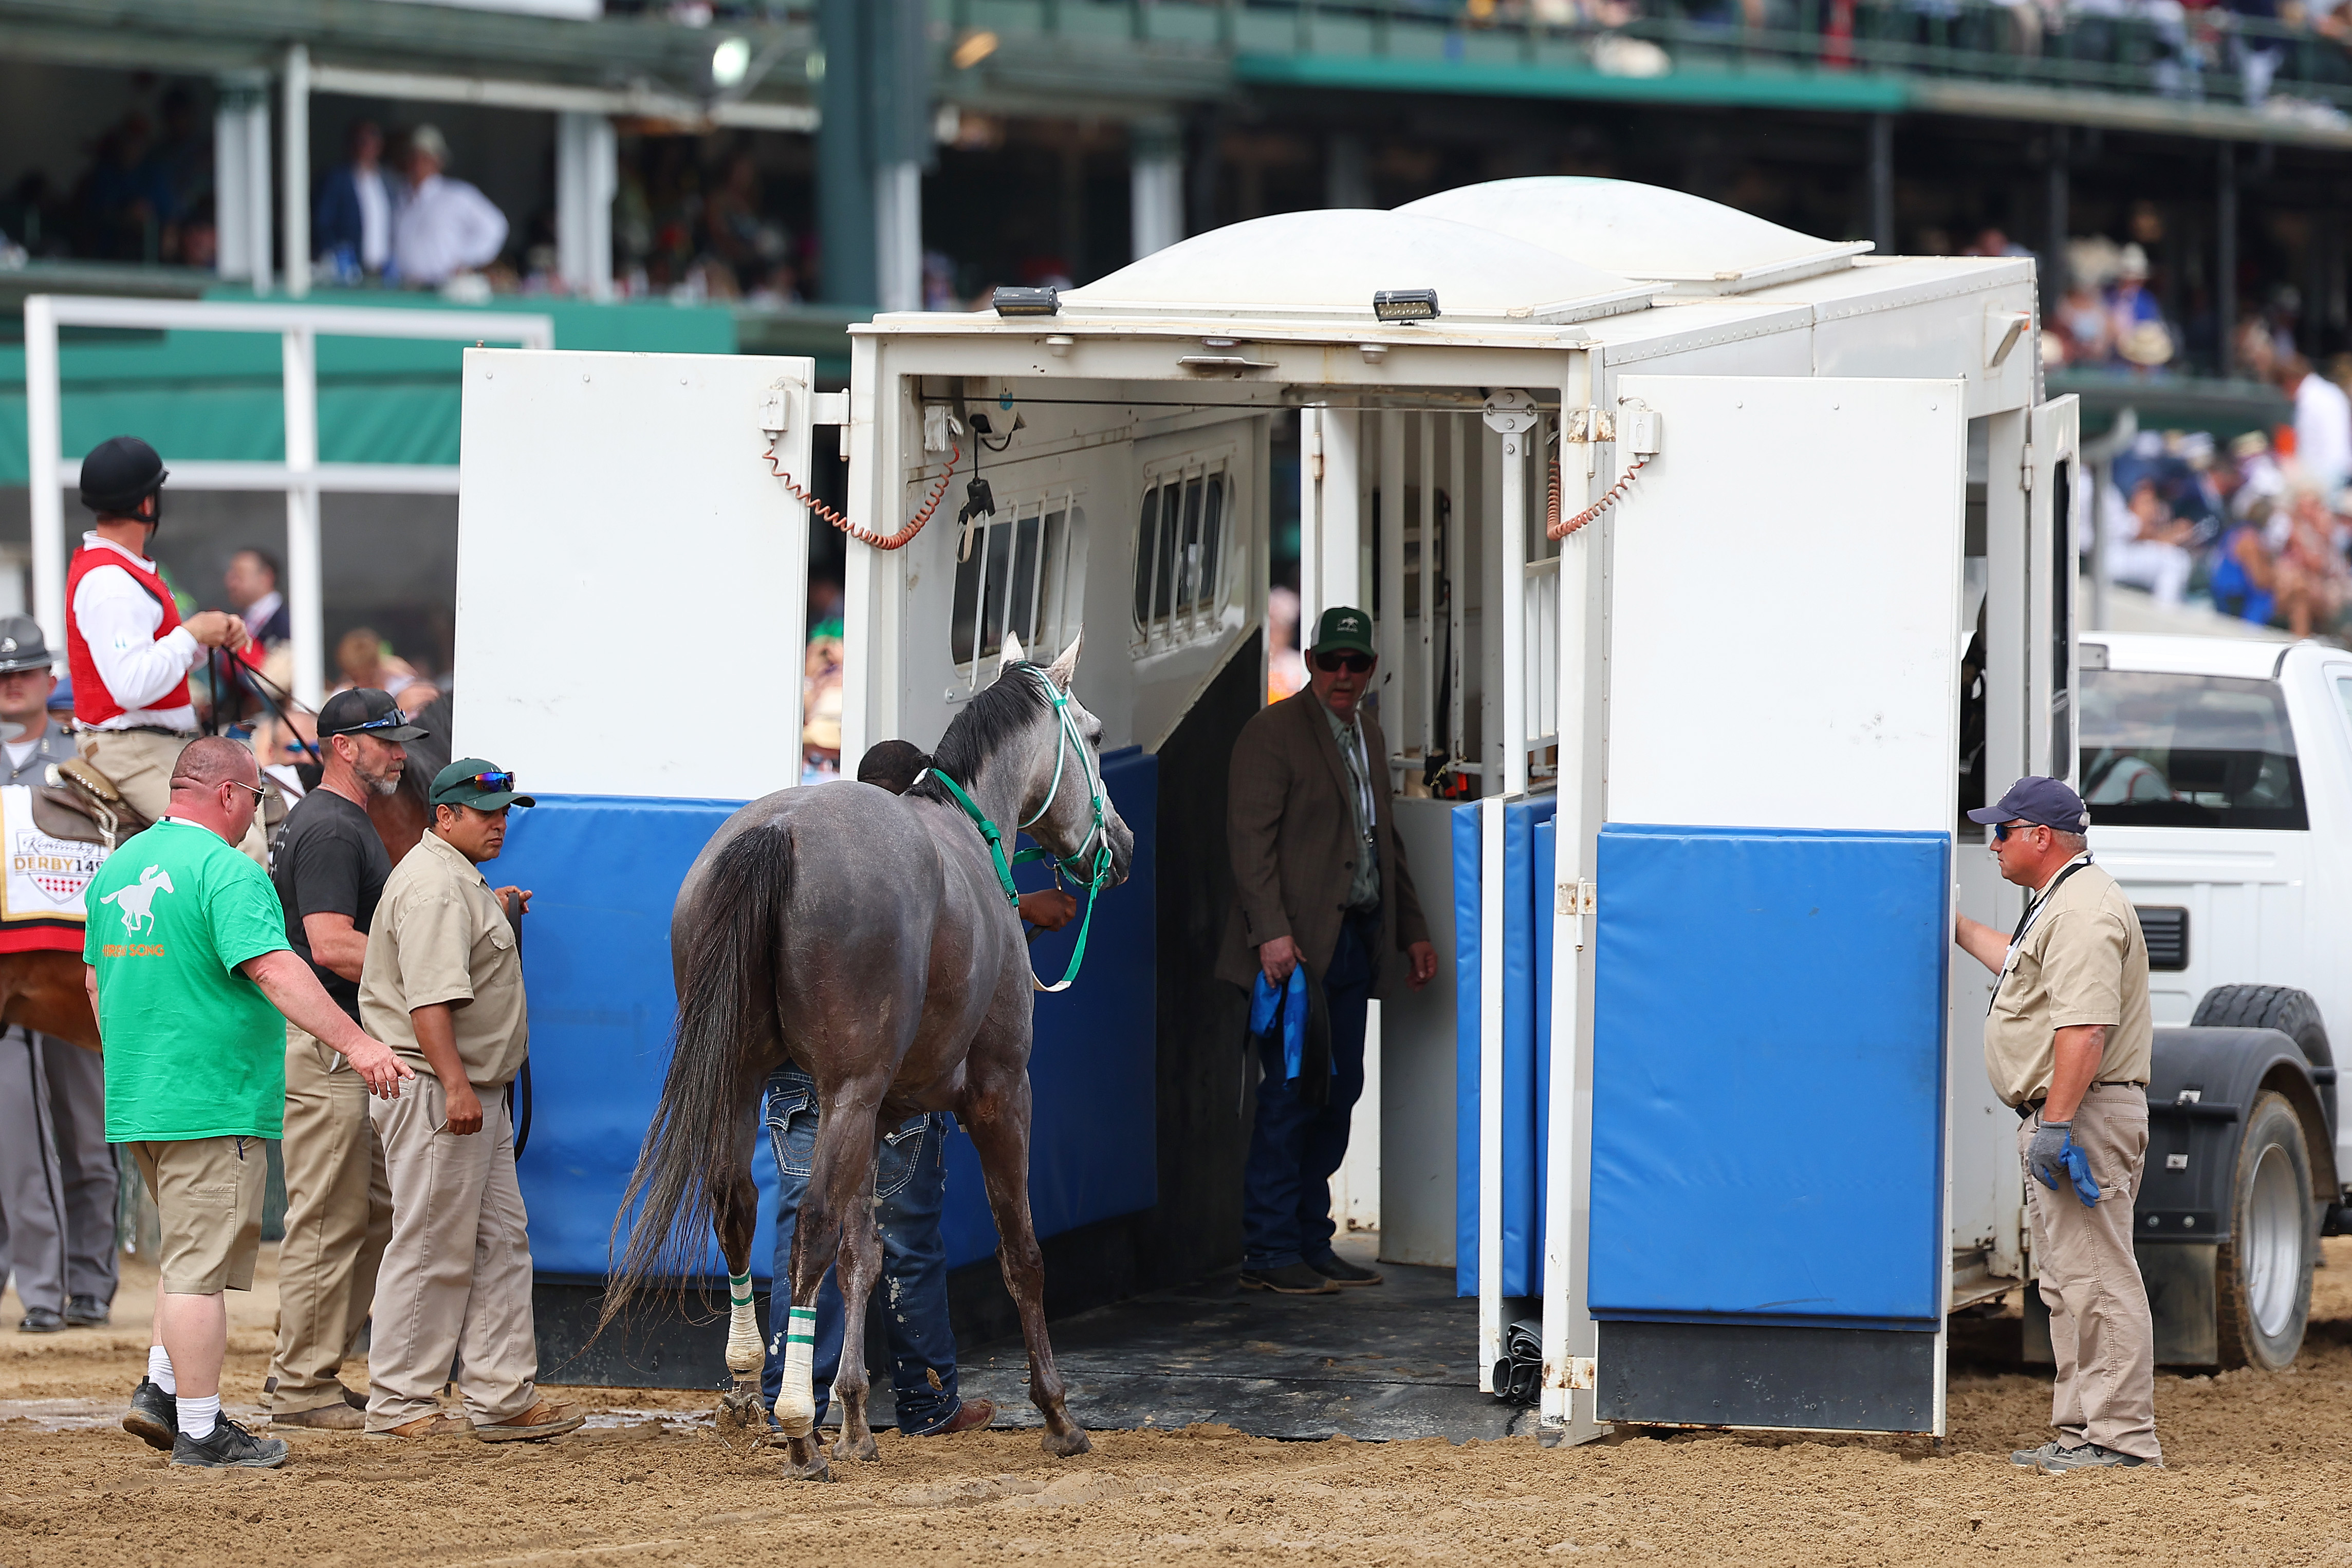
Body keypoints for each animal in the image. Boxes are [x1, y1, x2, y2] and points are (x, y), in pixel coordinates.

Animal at [597, 630, 1128, 1476]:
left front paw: (851, 1416)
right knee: (808, 1224)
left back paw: (753, 1387)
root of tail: (779, 832)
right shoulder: (1000, 1092)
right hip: (846, 1088)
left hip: (750, 1077)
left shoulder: (880, 1109)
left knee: (740, 1205)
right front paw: (1057, 1414)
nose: (1123, 847)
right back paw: (794, 1425)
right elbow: (1019, 1252)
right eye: (1098, 734)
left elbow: (864, 1257)